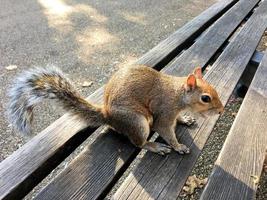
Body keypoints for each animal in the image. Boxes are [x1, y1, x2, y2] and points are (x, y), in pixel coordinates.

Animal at [7, 65, 224, 155]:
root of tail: (107, 116)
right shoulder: (164, 113)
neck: (177, 94)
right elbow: (166, 131)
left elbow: (177, 120)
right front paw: (178, 146)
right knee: (138, 143)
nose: (221, 110)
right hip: (137, 122)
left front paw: (185, 119)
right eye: (205, 98)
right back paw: (154, 147)